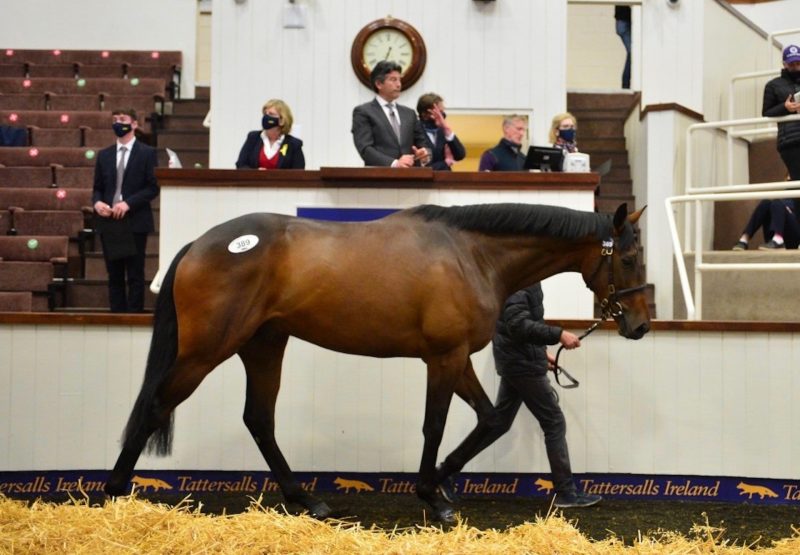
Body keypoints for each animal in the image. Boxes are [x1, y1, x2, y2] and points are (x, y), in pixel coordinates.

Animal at [104, 203, 648, 520]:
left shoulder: (457, 358)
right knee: (156, 406)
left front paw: (442, 483)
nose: (640, 325)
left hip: (264, 344)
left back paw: (308, 500)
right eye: (629, 259)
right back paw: (112, 491)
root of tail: (200, 244)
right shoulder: (443, 358)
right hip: (206, 351)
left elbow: (490, 419)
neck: (471, 254)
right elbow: (434, 425)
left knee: (259, 419)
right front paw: (432, 496)